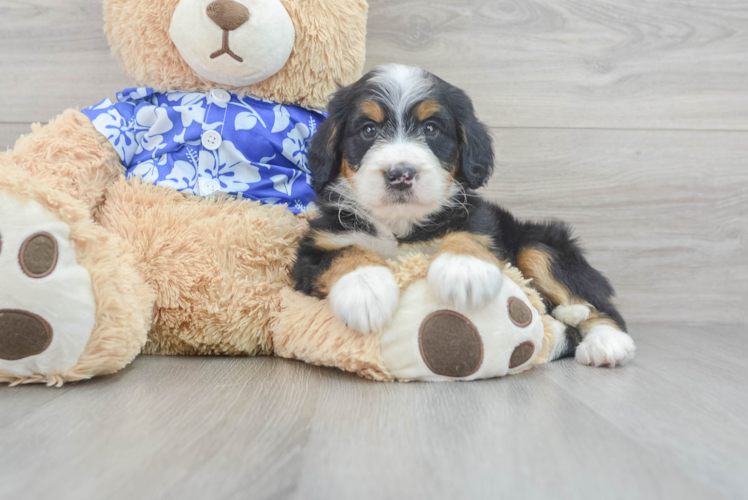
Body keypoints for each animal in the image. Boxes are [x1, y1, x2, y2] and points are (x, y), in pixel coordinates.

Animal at [296, 63, 636, 368]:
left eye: (431, 128)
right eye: (368, 129)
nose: (400, 174)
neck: (401, 225)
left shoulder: (481, 221)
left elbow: (468, 234)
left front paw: (465, 270)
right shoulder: (316, 247)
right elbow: (345, 253)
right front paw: (365, 291)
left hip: (539, 245)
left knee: (599, 306)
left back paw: (606, 343)